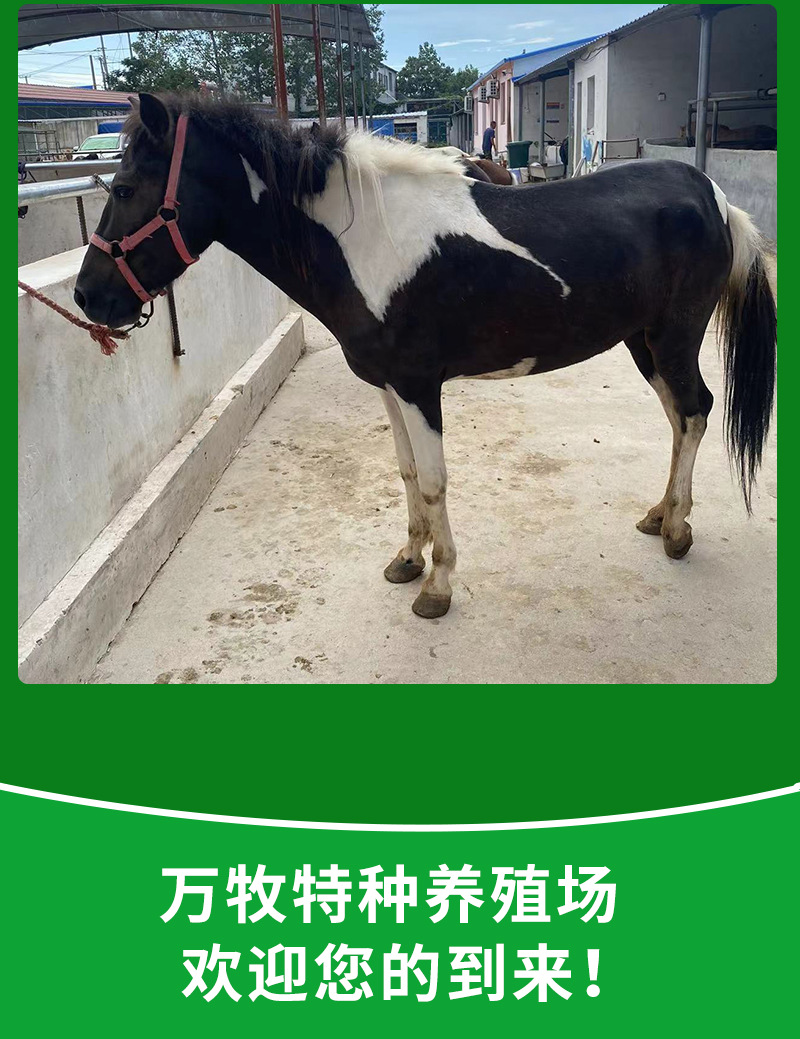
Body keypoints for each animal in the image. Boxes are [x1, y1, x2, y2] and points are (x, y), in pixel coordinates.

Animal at [75, 93, 776, 620]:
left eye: (128, 187)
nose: (88, 296)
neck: (364, 240)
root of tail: (714, 197)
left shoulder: (419, 385)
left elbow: (436, 481)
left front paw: (438, 588)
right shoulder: (388, 386)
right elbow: (409, 474)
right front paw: (409, 561)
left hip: (675, 339)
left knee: (695, 411)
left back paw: (679, 533)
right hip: (644, 343)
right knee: (679, 418)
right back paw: (661, 516)